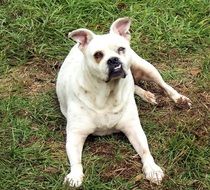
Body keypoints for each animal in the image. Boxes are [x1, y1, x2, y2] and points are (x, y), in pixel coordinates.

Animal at [55, 17, 190, 187]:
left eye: (121, 49)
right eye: (98, 55)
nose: (113, 60)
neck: (107, 93)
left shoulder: (133, 128)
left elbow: (145, 150)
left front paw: (152, 169)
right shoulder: (75, 134)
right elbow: (76, 160)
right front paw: (75, 176)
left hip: (145, 68)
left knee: (164, 85)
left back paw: (179, 99)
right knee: (135, 86)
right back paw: (147, 95)